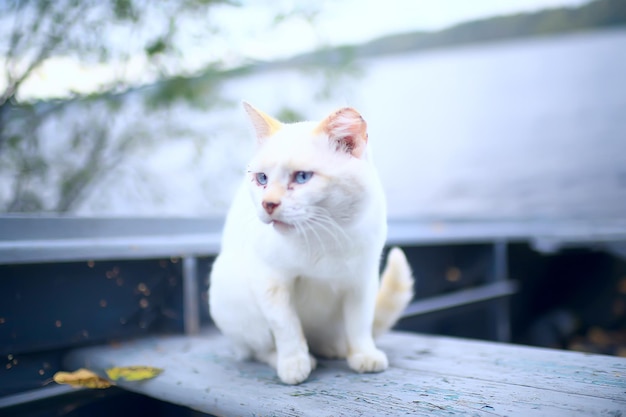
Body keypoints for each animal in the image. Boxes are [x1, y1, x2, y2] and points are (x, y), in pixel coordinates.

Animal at [208, 101, 414, 384]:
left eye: (302, 177)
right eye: (262, 179)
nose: (268, 204)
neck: (323, 234)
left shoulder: (362, 282)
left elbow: (360, 324)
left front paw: (363, 354)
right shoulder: (271, 281)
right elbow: (287, 327)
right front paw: (294, 363)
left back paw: (334, 348)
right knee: (258, 348)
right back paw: (285, 357)